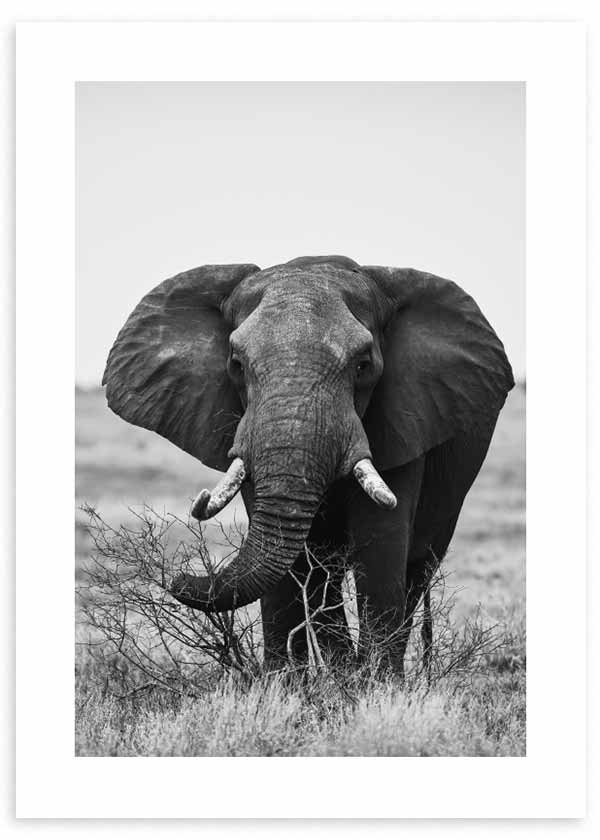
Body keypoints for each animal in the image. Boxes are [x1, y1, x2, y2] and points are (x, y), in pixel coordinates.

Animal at [103, 255, 514, 673]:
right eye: (236, 364)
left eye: (363, 365)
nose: (177, 577)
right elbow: (289, 557)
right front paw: (285, 684)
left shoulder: (403, 417)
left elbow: (381, 539)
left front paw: (377, 685)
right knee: (325, 570)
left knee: (416, 566)